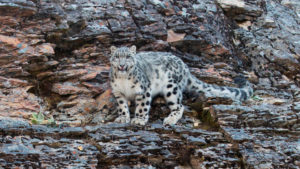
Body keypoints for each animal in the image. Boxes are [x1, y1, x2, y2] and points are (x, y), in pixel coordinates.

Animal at [109, 45, 252, 125]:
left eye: (128, 56)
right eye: (116, 57)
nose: (122, 65)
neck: (123, 80)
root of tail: (185, 66)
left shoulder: (143, 90)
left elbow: (142, 106)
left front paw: (139, 119)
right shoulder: (118, 92)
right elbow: (122, 106)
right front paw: (123, 117)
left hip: (171, 87)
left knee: (179, 106)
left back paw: (170, 119)